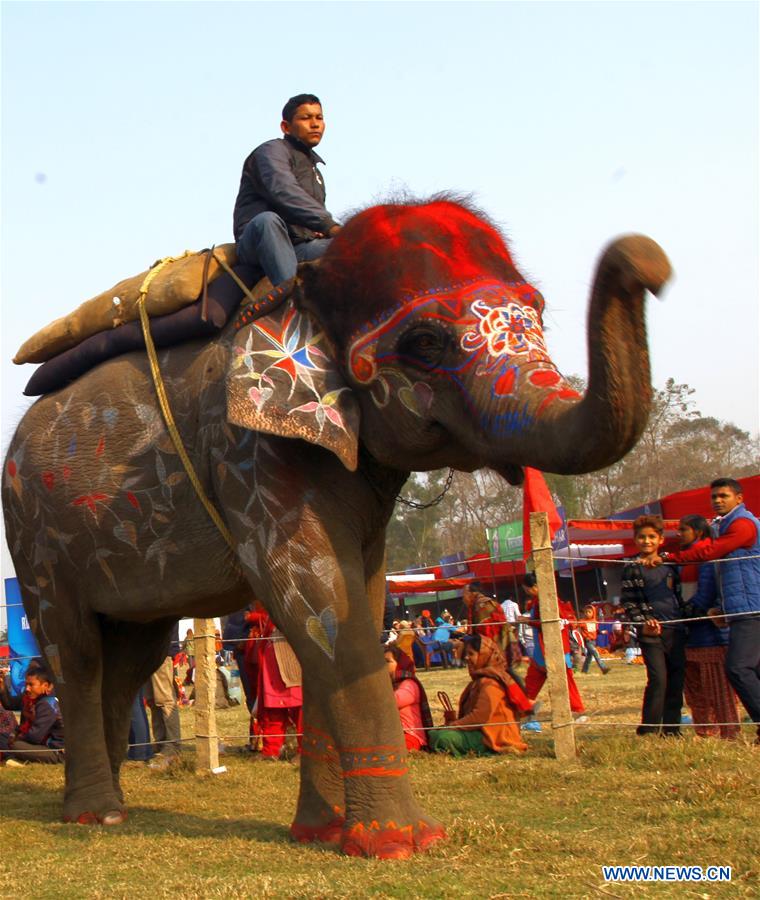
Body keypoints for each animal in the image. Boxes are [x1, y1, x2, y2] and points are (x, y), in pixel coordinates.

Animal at [2, 196, 671, 858]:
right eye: (425, 341)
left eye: (537, 312)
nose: (650, 262)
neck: (308, 293)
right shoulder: (249, 451)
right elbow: (318, 602)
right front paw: (405, 842)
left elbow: (355, 601)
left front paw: (322, 834)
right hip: (35, 537)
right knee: (76, 653)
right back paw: (95, 815)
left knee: (133, 657)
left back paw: (112, 807)